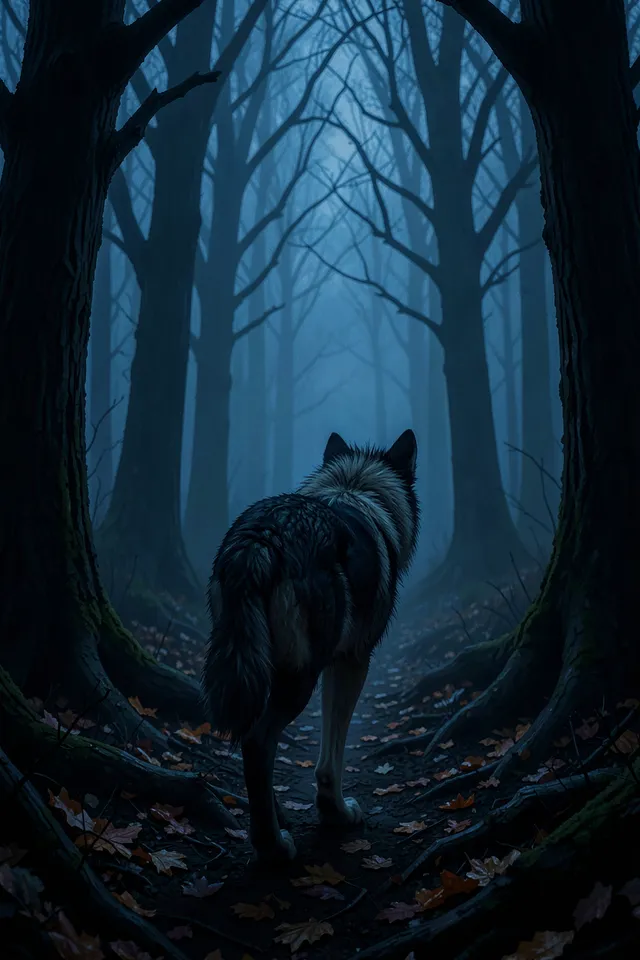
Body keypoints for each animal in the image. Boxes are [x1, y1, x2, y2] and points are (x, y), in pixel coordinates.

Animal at [203, 429, 419, 863]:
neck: (355, 487)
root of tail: (263, 538)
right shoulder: (352, 662)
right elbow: (330, 757)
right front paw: (335, 813)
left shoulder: (335, 664)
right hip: (298, 680)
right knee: (257, 742)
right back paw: (272, 846)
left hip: (250, 666)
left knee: (250, 738)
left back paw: (275, 819)